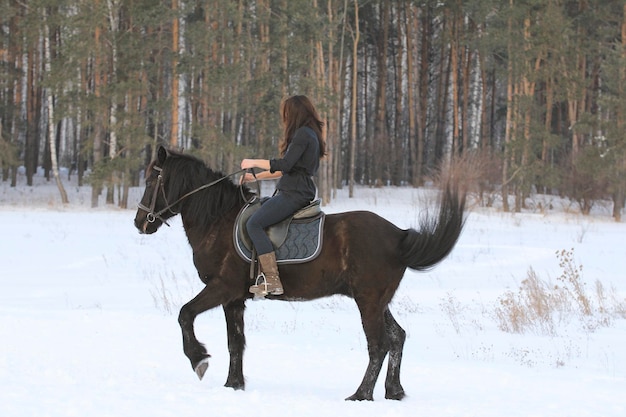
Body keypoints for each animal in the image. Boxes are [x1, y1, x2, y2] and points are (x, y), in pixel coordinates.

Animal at [134, 145, 466, 400]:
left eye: (152, 179)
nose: (140, 222)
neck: (218, 221)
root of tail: (398, 235)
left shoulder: (222, 288)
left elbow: (185, 314)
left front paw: (199, 359)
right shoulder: (235, 299)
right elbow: (235, 342)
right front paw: (234, 385)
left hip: (369, 301)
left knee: (379, 344)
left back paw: (361, 395)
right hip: (377, 300)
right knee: (397, 337)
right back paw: (394, 391)